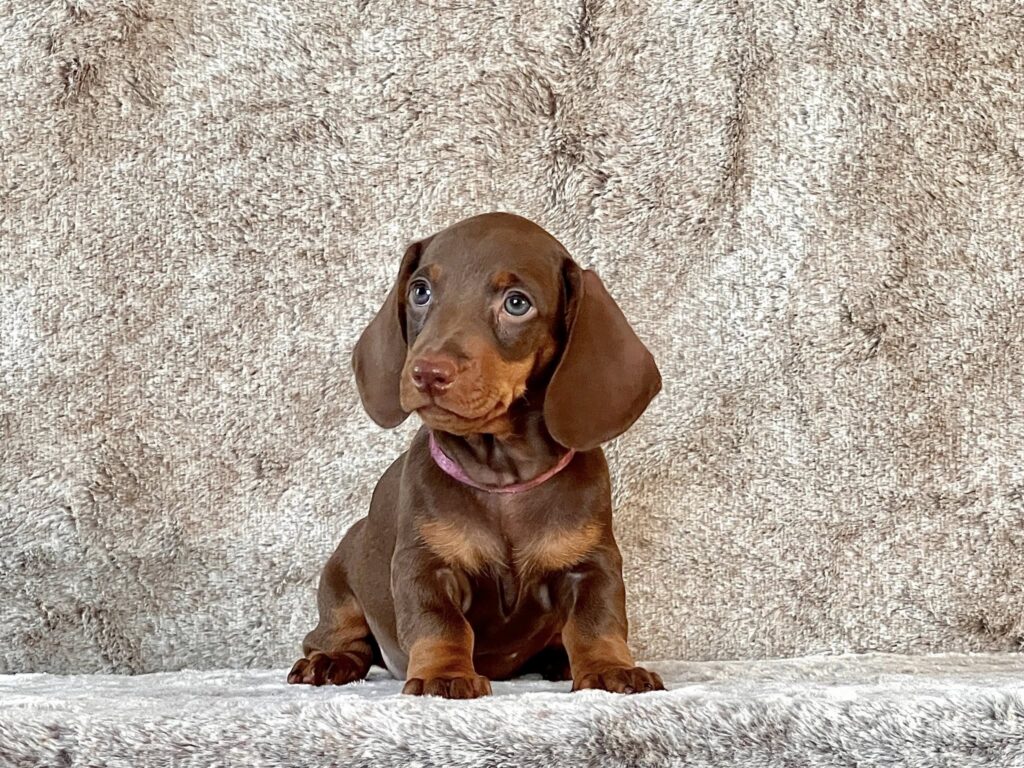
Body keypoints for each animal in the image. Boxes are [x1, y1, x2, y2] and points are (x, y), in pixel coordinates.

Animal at [288, 212, 664, 698]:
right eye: (420, 291)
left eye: (517, 303)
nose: (428, 373)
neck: (502, 475)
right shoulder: (426, 566)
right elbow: (441, 625)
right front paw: (444, 674)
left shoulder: (592, 564)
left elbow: (597, 622)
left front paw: (609, 667)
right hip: (341, 573)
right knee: (338, 635)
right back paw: (329, 661)